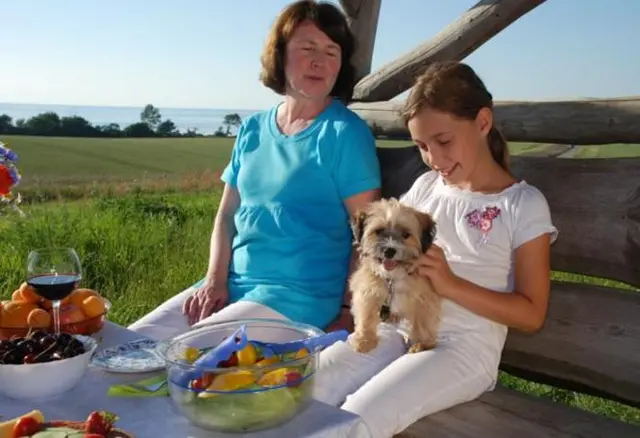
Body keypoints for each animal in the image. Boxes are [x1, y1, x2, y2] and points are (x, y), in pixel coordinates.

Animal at [348, 197, 442, 354]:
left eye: (405, 235)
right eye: (379, 231)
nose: (389, 251)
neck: (393, 278)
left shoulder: (425, 298)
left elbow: (422, 322)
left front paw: (422, 344)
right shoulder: (368, 290)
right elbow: (366, 316)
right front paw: (364, 340)